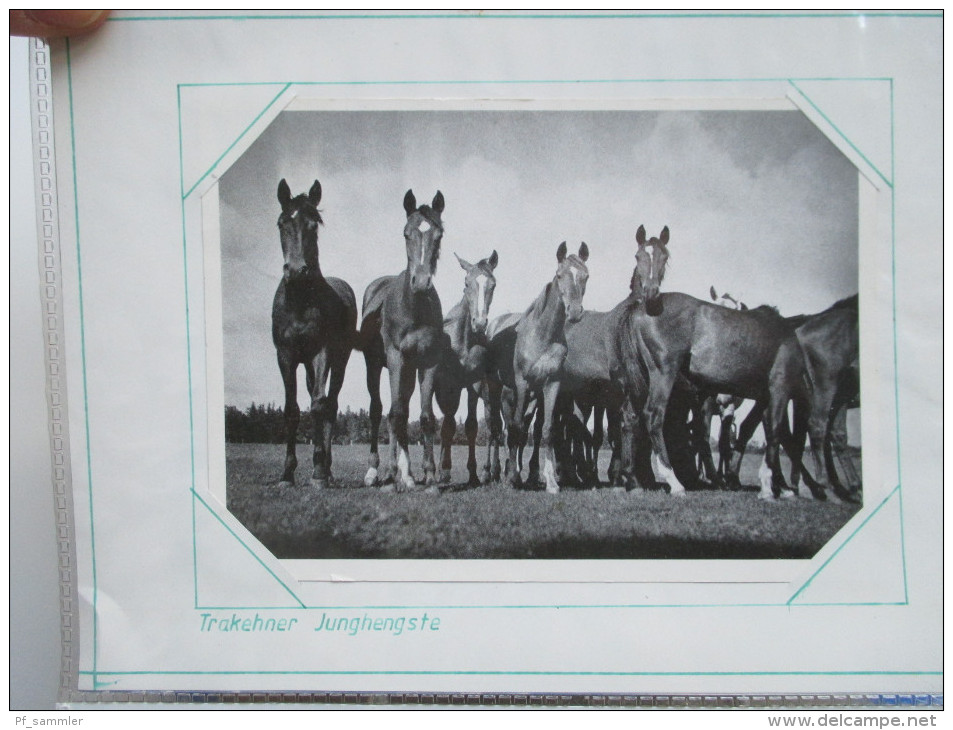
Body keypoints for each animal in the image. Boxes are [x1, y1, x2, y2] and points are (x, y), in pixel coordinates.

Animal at [272, 178, 356, 490]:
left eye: (314, 224)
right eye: (282, 223)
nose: (297, 271)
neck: (300, 300)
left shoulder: (322, 353)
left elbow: (319, 406)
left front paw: (319, 472)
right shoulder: (285, 355)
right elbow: (292, 409)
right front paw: (287, 474)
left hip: (340, 360)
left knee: (329, 404)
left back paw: (327, 470)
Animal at [358, 191, 444, 492]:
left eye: (439, 235)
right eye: (406, 234)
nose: (421, 282)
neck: (414, 307)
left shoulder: (428, 361)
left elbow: (425, 416)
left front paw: (430, 476)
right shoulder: (396, 358)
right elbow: (394, 414)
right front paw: (393, 475)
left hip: (407, 370)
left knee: (402, 410)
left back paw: (406, 474)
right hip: (376, 365)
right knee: (380, 411)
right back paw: (376, 472)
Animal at [436, 249, 502, 484]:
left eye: (493, 284)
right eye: (466, 283)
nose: (479, 323)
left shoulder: (473, 384)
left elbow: (472, 426)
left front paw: (473, 473)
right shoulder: (451, 384)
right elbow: (448, 425)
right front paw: (445, 470)